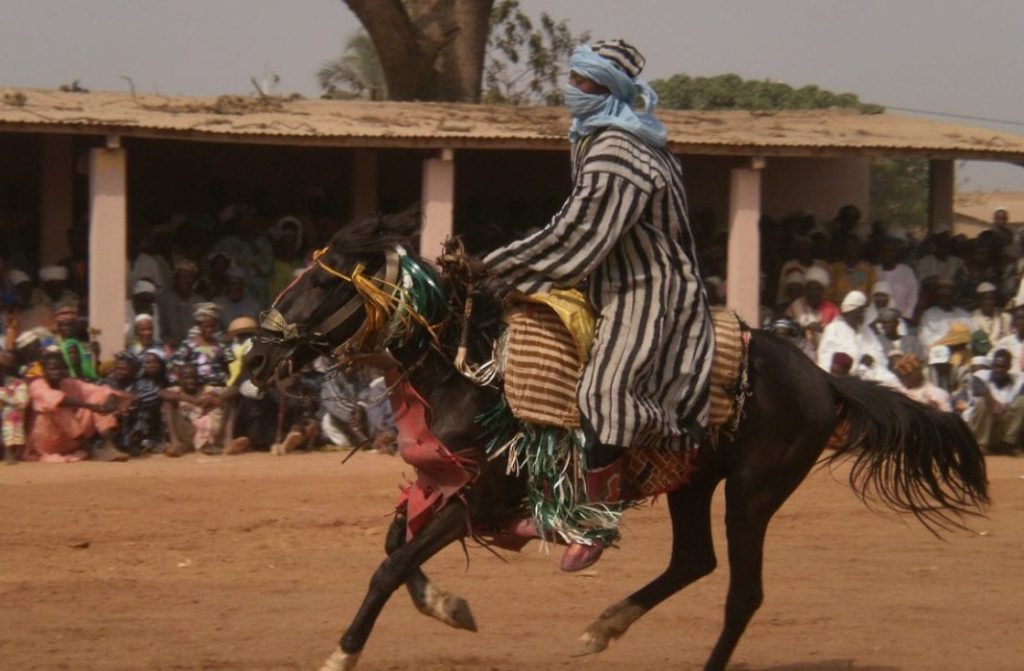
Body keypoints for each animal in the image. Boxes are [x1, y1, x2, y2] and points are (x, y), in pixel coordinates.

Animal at [243, 214, 987, 671]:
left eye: (321, 282)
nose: (257, 354)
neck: (467, 366)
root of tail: (822, 378)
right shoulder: (438, 483)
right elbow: (397, 545)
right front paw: (448, 606)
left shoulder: (483, 499)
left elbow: (391, 565)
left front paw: (343, 651)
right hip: (694, 482)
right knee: (695, 560)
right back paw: (603, 625)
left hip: (753, 491)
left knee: (742, 592)